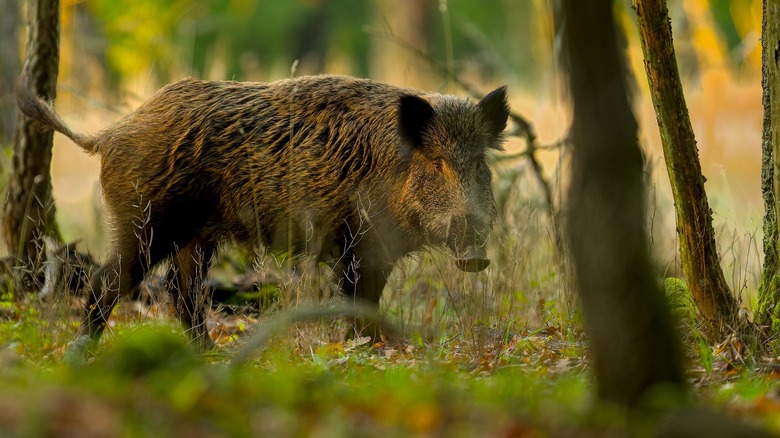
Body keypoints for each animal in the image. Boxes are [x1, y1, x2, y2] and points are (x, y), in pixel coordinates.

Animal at [15, 73, 509, 350]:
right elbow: (358, 299)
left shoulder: (379, 252)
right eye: (437, 162)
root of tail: (108, 135)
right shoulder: (355, 242)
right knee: (108, 282)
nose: (475, 255)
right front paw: (366, 352)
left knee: (182, 291)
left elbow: (371, 299)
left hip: (196, 237)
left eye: (479, 164)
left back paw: (209, 354)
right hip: (145, 220)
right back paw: (83, 352)